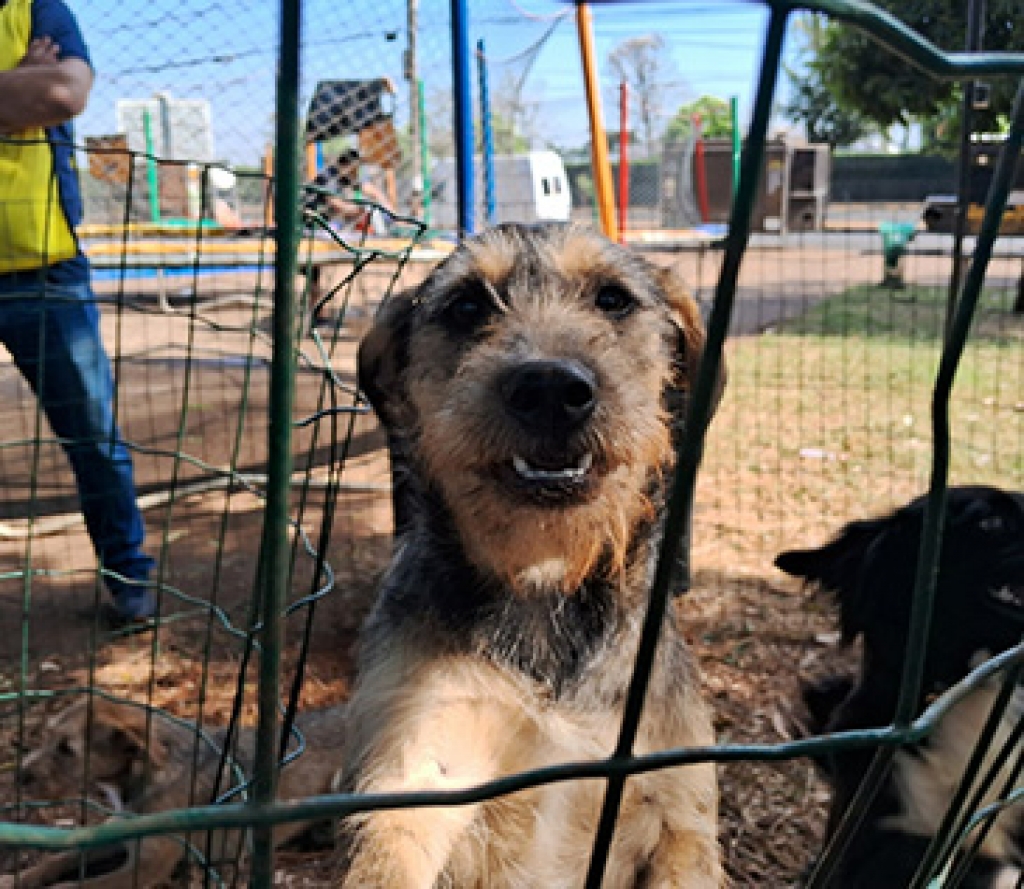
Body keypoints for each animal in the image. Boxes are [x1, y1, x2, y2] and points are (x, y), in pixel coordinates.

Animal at [1, 696, 344, 884]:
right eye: (46, 736)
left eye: (67, 750)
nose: (18, 776)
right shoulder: (118, 830)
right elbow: (62, 855)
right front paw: (18, 878)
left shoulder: (149, 865)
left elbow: (78, 886)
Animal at [344, 224, 729, 889]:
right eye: (467, 305)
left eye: (612, 299)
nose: (550, 389)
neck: (544, 589)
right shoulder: (421, 775)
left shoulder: (681, 817)